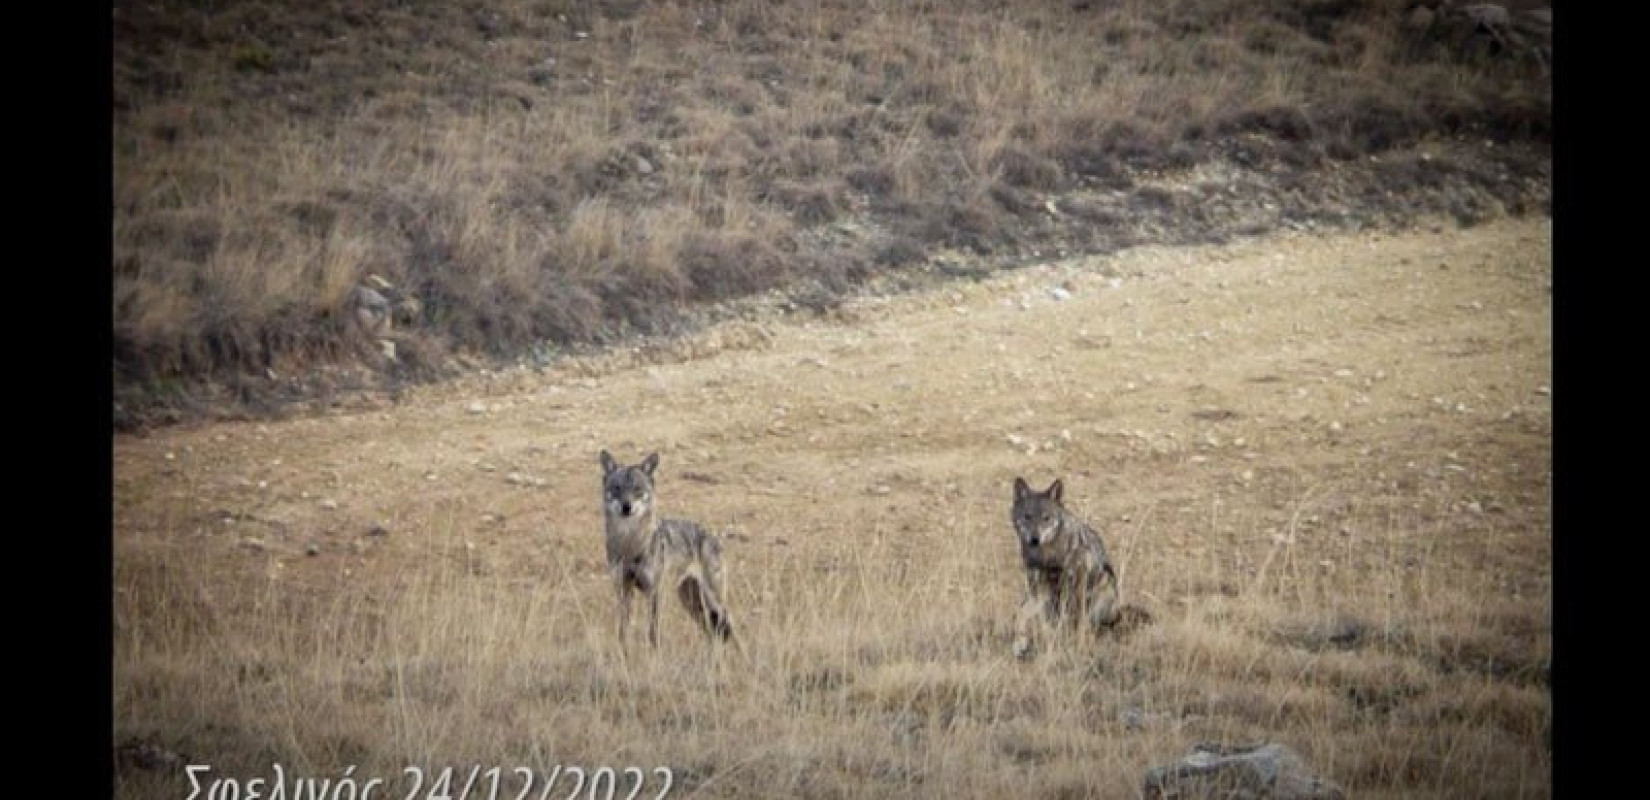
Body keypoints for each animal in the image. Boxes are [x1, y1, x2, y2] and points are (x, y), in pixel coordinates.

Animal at [600, 448, 735, 649]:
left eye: (637, 489)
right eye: (617, 488)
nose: (626, 507)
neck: (630, 544)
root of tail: (714, 536)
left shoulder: (655, 592)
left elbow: (652, 633)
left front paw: (654, 654)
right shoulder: (624, 589)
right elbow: (623, 632)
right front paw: (624, 653)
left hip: (713, 600)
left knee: (729, 628)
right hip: (691, 602)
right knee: (712, 633)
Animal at [1003, 475, 1122, 656]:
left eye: (1046, 518)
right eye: (1027, 516)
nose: (1035, 539)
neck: (1048, 556)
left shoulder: (1079, 579)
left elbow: (1081, 620)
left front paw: (1080, 647)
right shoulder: (1038, 589)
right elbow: (1019, 614)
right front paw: (1019, 643)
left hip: (1104, 583)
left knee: (1088, 624)